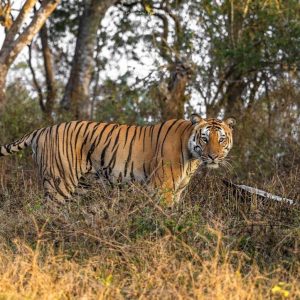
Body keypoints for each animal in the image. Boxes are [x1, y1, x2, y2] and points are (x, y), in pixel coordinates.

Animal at [0, 114, 234, 206]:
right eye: (205, 139)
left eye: (221, 139)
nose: (213, 156)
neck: (192, 158)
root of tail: (42, 129)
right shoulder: (163, 188)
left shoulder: (177, 192)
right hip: (60, 184)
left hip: (80, 186)